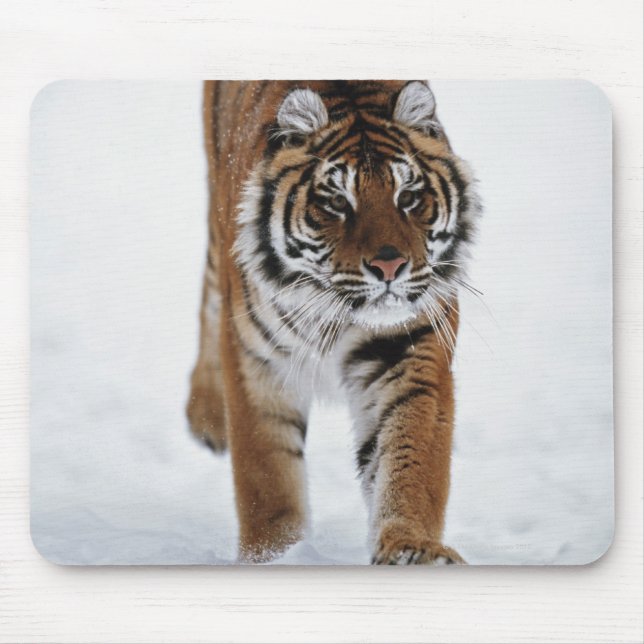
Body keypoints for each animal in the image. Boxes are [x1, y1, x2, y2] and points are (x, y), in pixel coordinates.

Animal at [187, 80, 480, 565]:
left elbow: (411, 455)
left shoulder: (410, 343)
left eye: (407, 197)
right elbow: (267, 478)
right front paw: (273, 557)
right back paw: (207, 419)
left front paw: (412, 550)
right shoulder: (257, 361)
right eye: (338, 202)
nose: (389, 266)